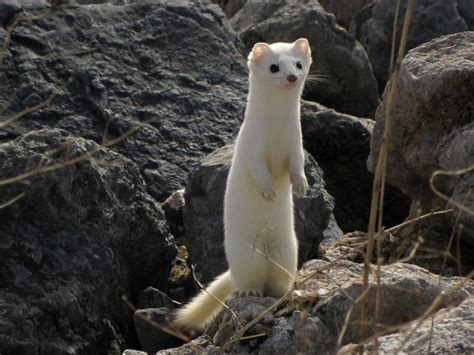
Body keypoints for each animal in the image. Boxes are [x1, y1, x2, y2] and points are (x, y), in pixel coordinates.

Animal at [174, 38, 312, 330]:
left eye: (298, 63)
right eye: (274, 67)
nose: (292, 76)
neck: (276, 133)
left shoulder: (296, 145)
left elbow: (297, 166)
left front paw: (301, 185)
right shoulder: (251, 148)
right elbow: (258, 170)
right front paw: (268, 191)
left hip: (288, 252)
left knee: (278, 280)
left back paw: (286, 292)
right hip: (246, 255)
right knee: (251, 279)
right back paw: (250, 291)